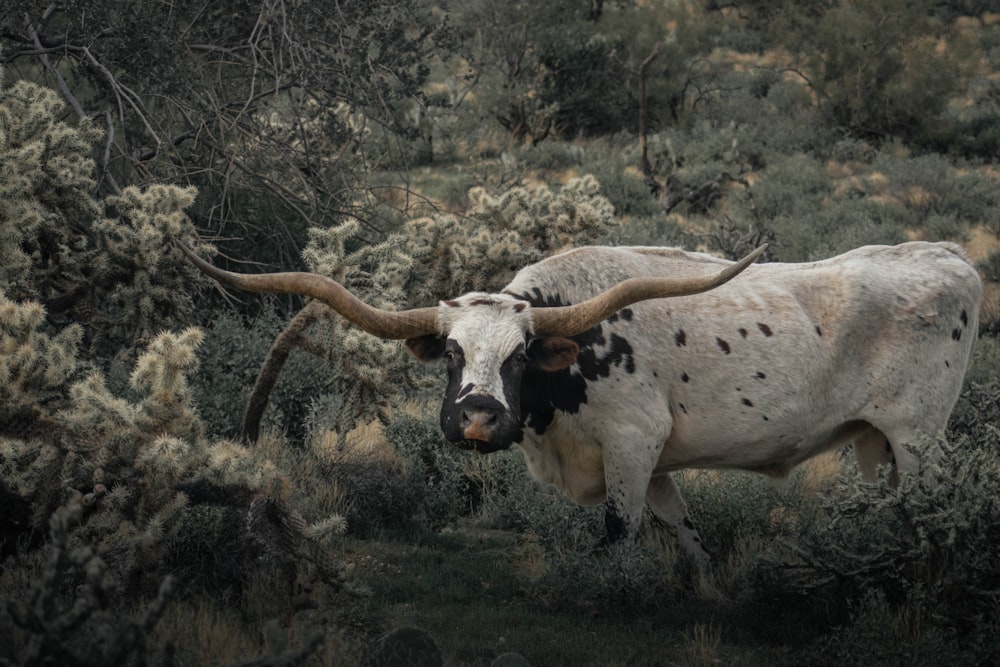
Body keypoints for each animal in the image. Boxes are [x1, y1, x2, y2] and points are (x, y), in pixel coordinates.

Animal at [182, 243, 984, 560]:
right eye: (452, 354)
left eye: (518, 356)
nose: (478, 418)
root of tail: (951, 258)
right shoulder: (656, 466)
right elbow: (689, 539)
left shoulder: (631, 445)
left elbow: (618, 536)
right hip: (872, 444)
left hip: (919, 439)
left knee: (936, 522)